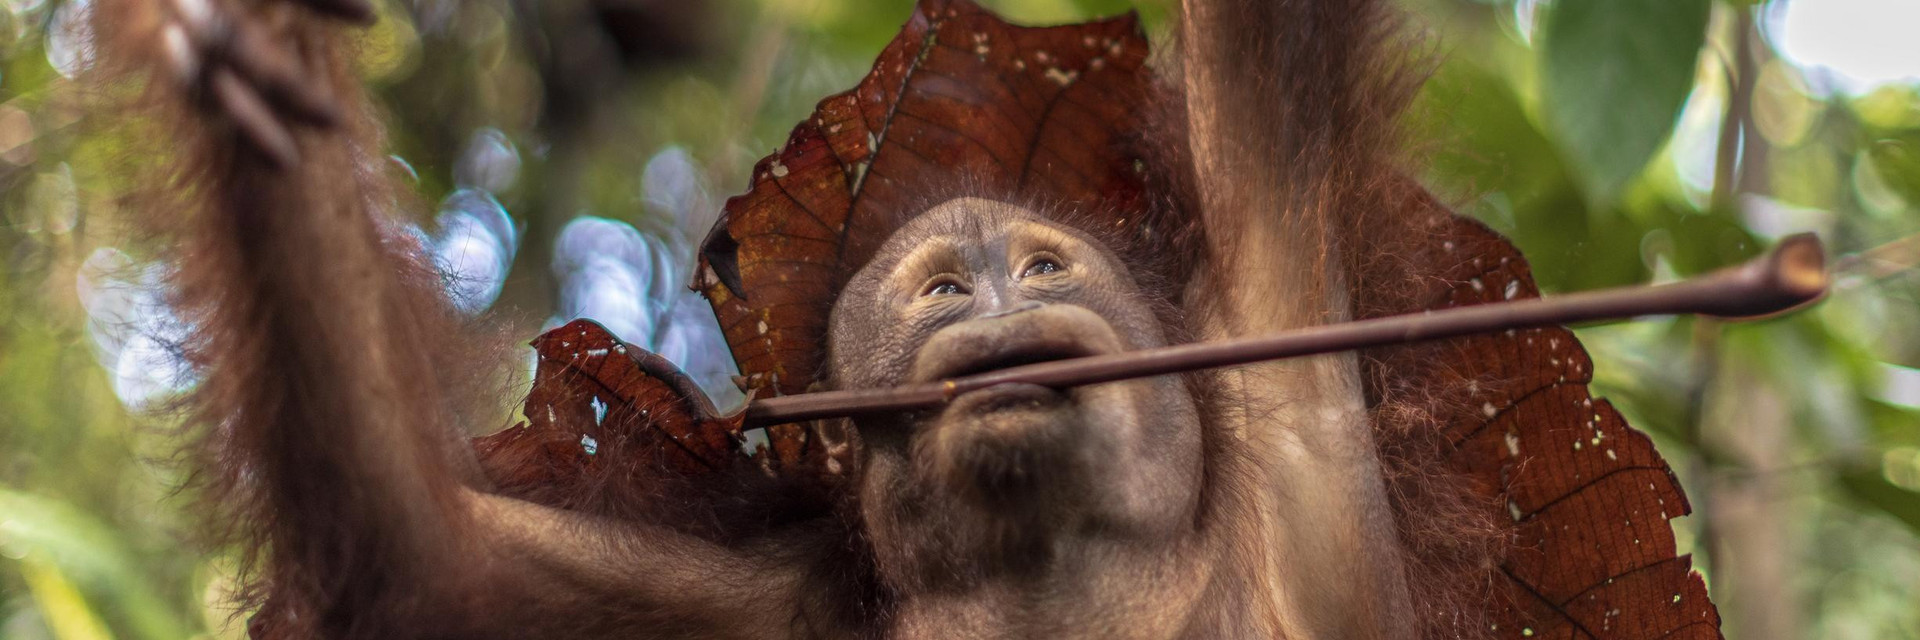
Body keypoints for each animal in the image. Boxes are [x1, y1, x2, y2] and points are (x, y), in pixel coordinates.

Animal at [87, 0, 1539, 637]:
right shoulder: (771, 610)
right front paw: (237, 49)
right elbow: (418, 554)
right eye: (942, 288)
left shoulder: (1289, 385)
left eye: (1046, 270)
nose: (995, 293)